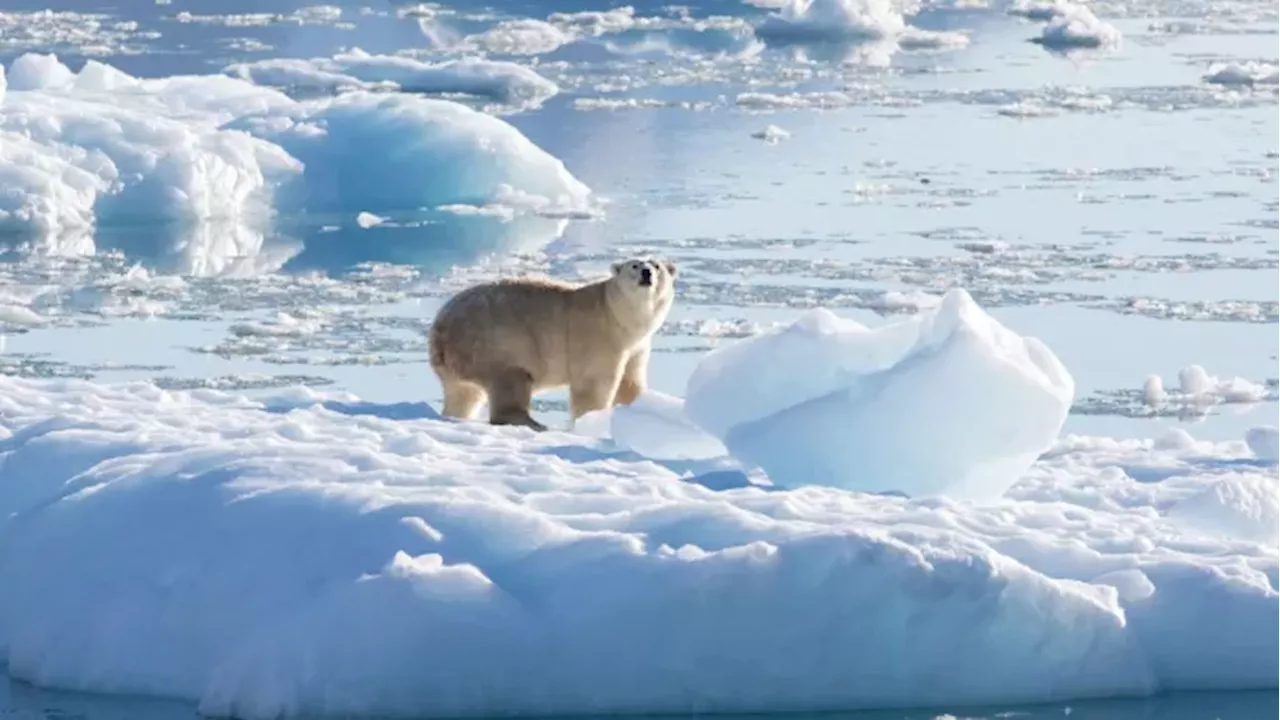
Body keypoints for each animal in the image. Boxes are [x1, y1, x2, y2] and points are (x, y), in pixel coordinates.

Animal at [427, 256, 675, 427]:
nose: (646, 273)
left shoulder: (636, 346)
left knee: (463, 394)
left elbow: (630, 382)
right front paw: (589, 421)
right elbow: (594, 384)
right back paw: (536, 424)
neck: (617, 315)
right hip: (496, 342)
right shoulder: (599, 336)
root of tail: (439, 330)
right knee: (511, 380)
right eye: (634, 265)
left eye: (657, 265)